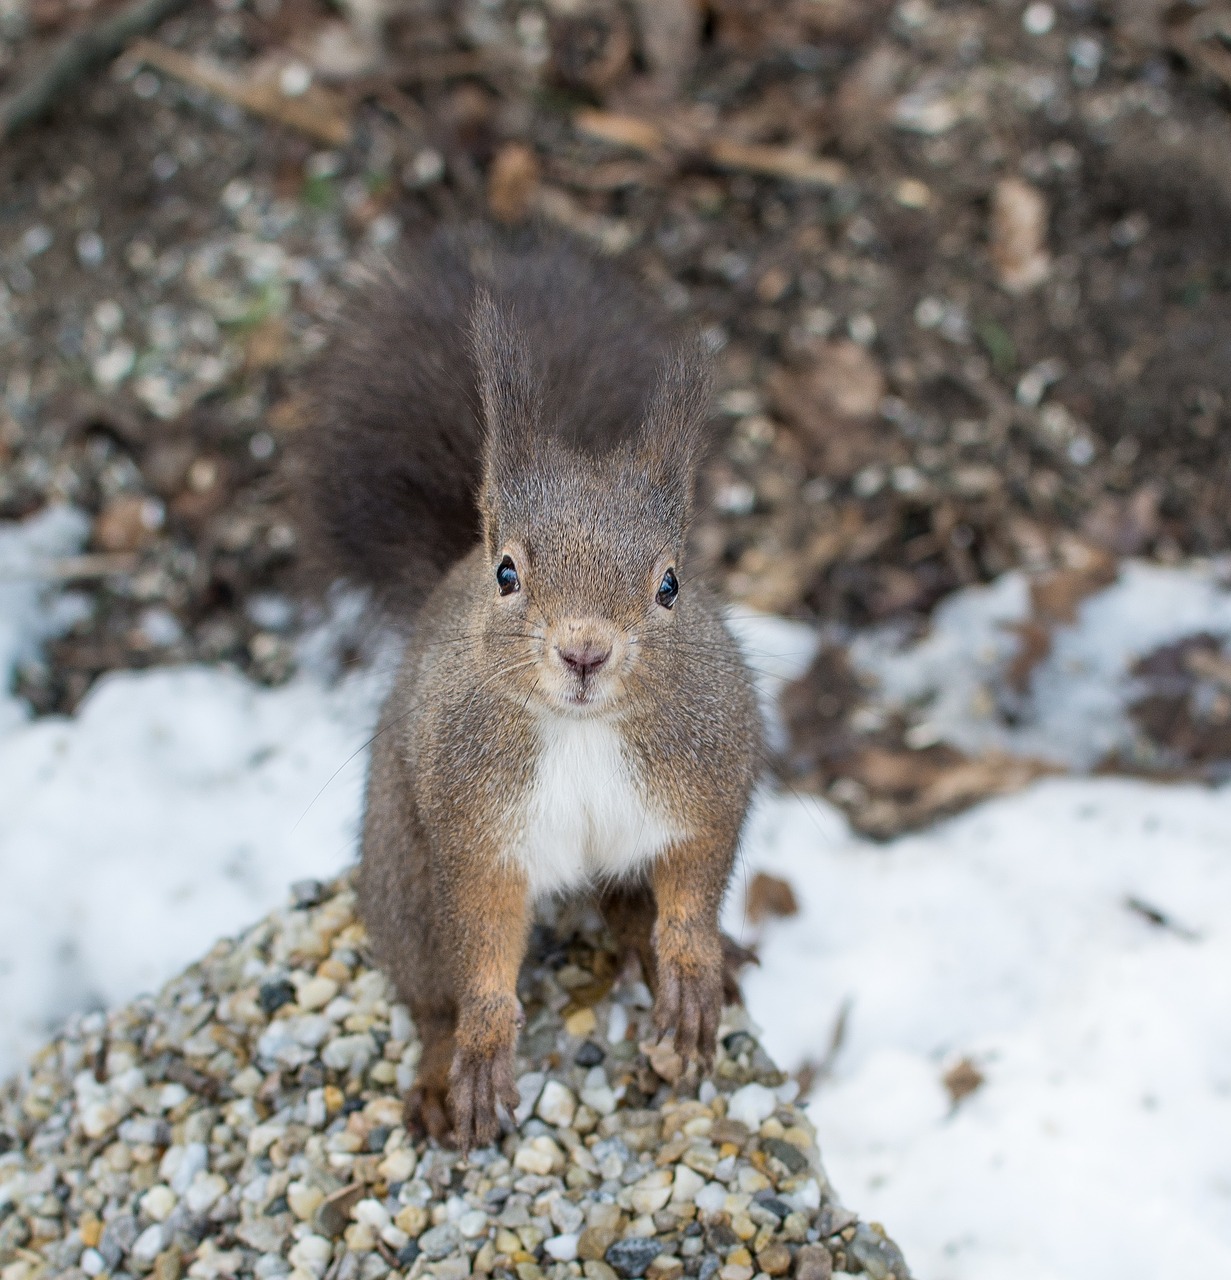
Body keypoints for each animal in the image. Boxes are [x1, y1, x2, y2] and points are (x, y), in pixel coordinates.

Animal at [299, 230, 757, 1152]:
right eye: (507, 572)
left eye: (670, 585)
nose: (584, 651)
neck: (580, 731)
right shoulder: (478, 829)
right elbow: (482, 942)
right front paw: (481, 1046)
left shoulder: (707, 774)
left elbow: (694, 879)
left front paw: (692, 966)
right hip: (403, 880)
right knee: (426, 990)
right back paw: (439, 1074)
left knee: (628, 902)